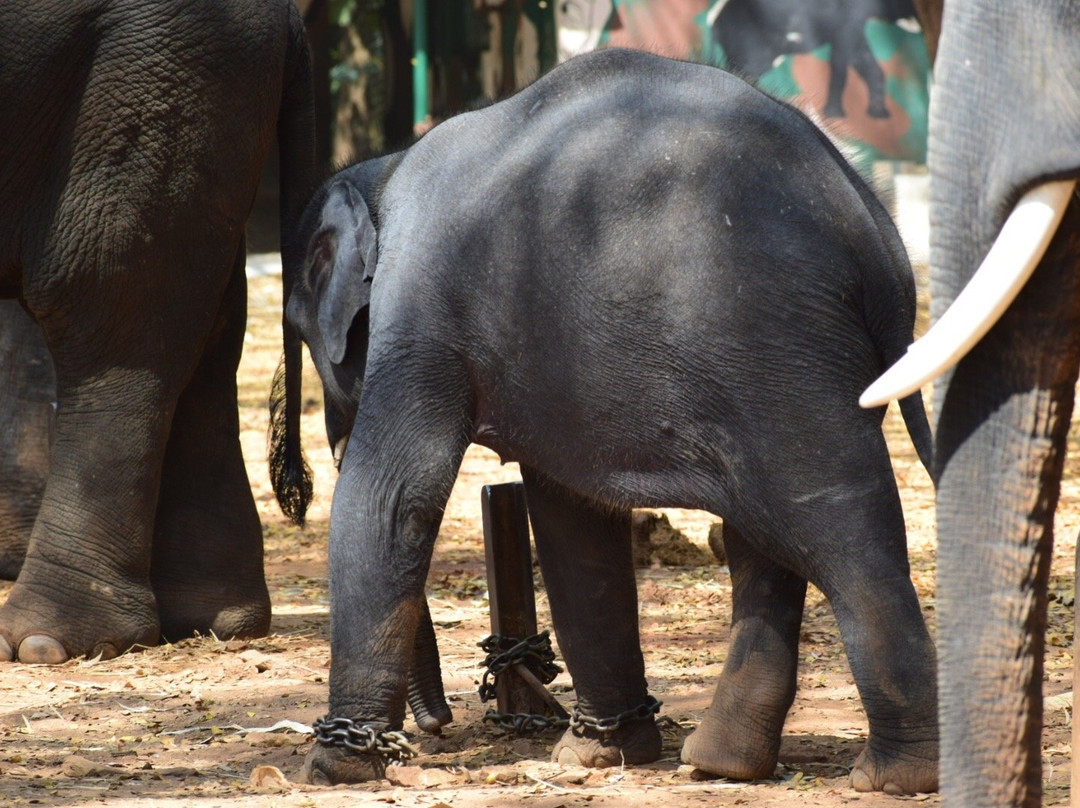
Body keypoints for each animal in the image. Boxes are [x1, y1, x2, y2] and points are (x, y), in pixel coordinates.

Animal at [0, 0, 315, 665]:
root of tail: (284, 14)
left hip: (153, 81)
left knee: (108, 301)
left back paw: (46, 643)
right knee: (205, 324)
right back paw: (213, 622)